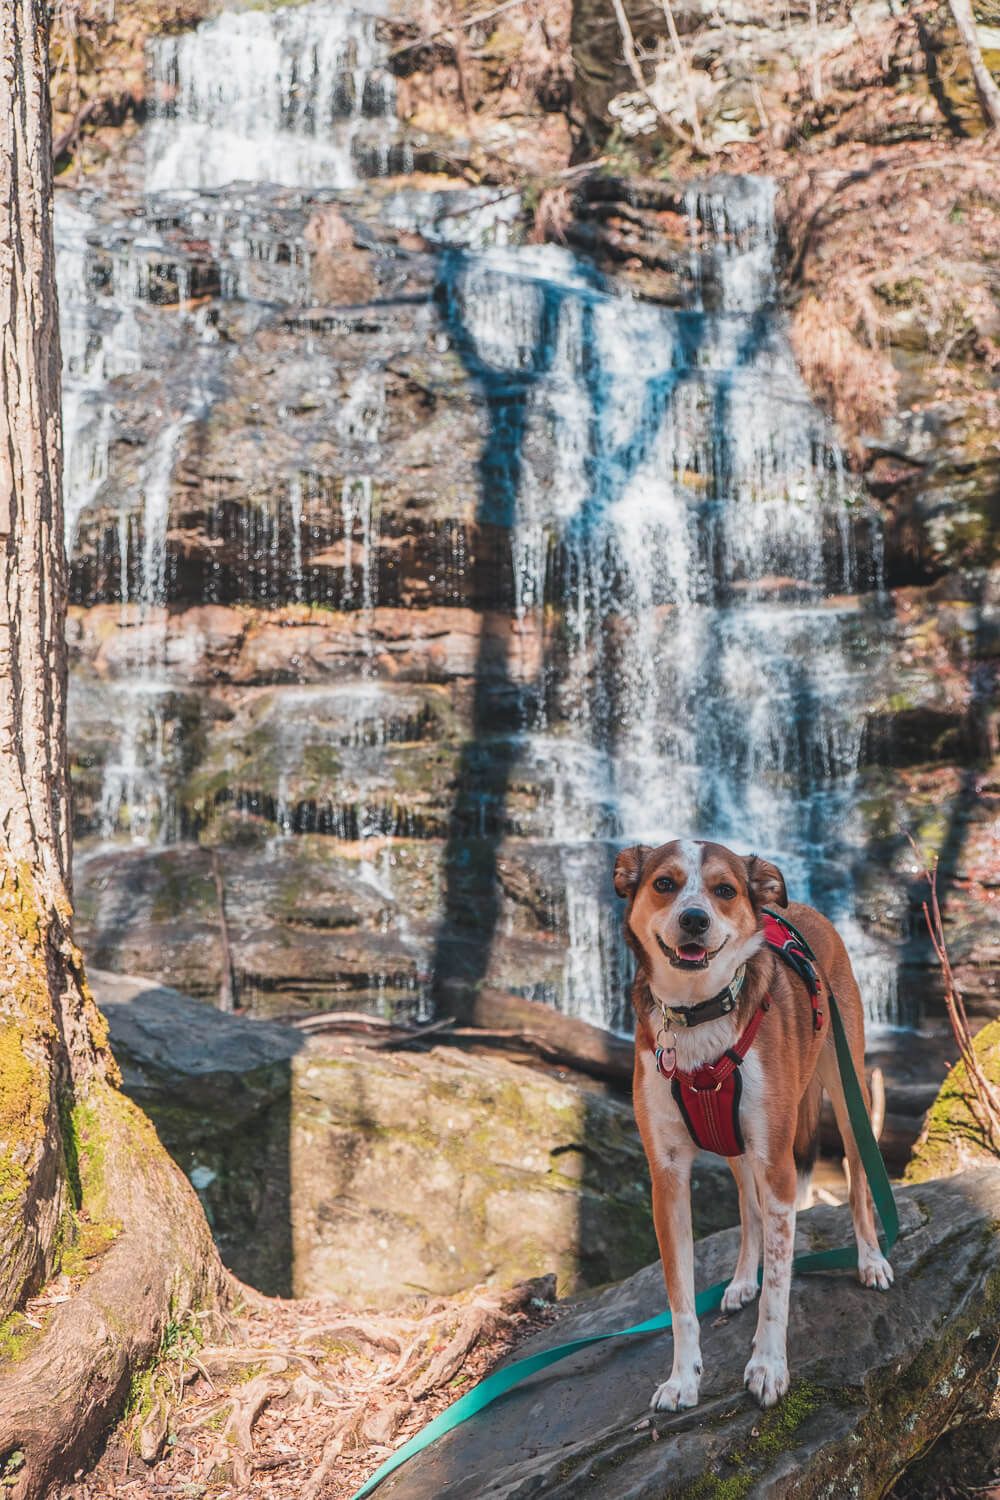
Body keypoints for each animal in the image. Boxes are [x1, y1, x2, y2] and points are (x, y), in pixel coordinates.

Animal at [614, 840, 893, 1410]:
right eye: (664, 884)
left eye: (724, 890)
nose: (694, 919)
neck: (699, 1013)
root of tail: (800, 910)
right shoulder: (667, 1178)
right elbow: (680, 1302)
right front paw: (683, 1378)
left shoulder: (781, 1167)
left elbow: (779, 1291)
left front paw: (768, 1366)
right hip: (736, 1145)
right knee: (749, 1209)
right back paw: (743, 1279)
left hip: (847, 1093)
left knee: (857, 1186)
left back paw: (871, 1260)